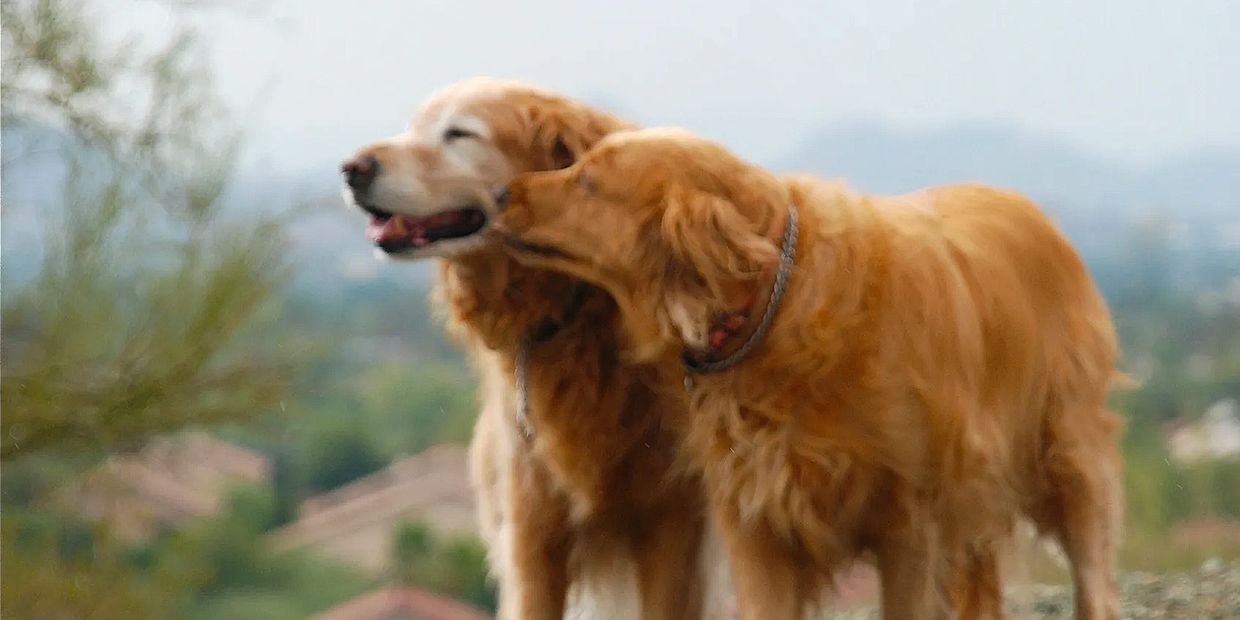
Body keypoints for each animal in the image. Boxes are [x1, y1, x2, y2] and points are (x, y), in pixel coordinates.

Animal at [339, 83, 719, 620]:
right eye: (413, 128)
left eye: (460, 133)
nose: (352, 169)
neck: (575, 314)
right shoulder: (533, 532)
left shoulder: (672, 523)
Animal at [493, 128, 1125, 617]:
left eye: (588, 183)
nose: (499, 191)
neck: (772, 308)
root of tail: (1031, 208)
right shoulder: (755, 525)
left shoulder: (911, 524)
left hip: (1068, 460)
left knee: (1095, 581)